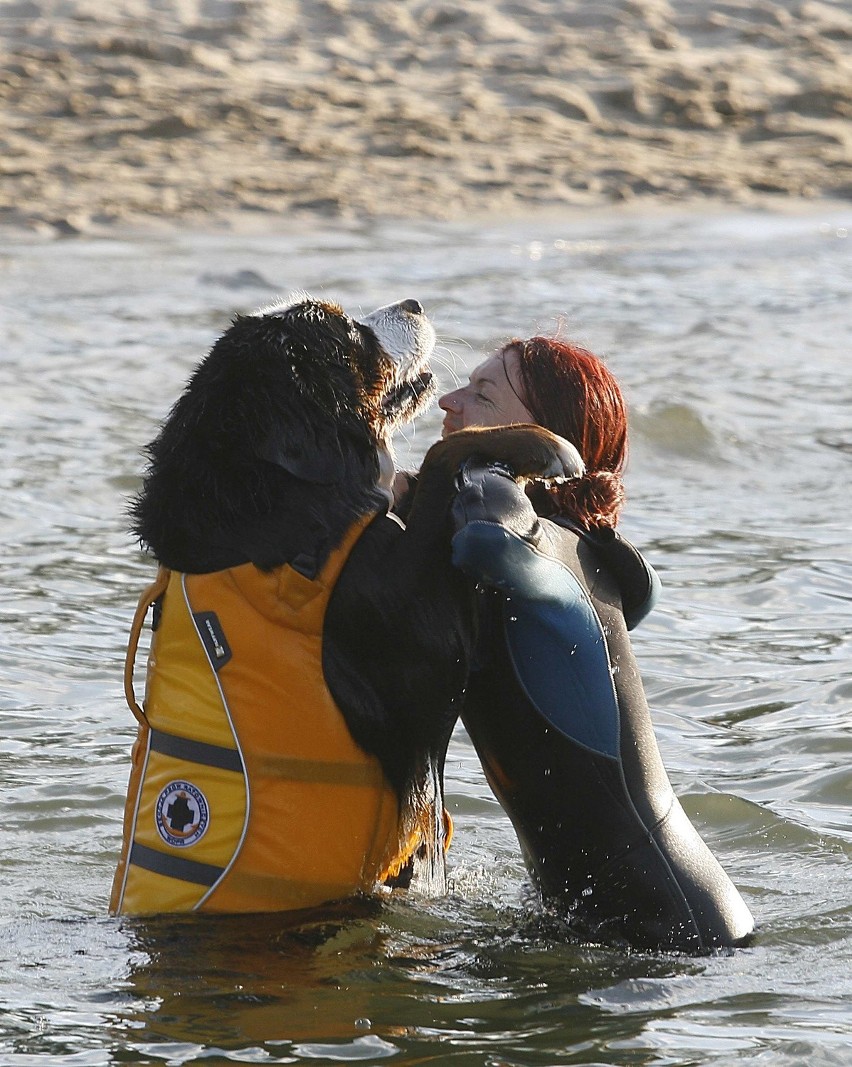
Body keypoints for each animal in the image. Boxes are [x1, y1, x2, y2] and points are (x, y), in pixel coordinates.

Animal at [111, 296, 580, 913]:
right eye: (350, 331)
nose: (414, 302)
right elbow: (440, 456)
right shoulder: (417, 650)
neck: (270, 511)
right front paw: (542, 444)